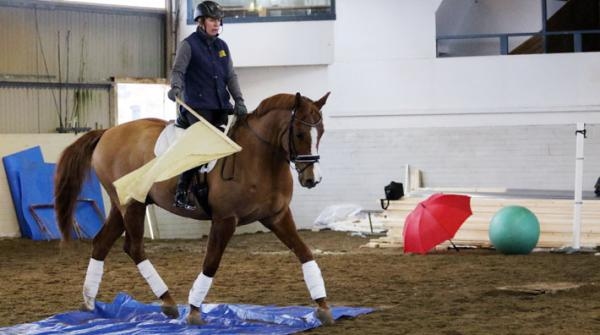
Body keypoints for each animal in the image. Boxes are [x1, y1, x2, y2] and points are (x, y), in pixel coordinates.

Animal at [54, 92, 332, 326]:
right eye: (299, 134)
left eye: (321, 132)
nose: (313, 179)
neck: (257, 158)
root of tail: (108, 132)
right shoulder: (224, 220)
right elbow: (211, 262)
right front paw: (195, 311)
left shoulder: (277, 216)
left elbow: (305, 253)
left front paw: (323, 308)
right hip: (132, 204)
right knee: (133, 247)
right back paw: (167, 302)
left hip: (121, 204)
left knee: (101, 243)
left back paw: (90, 303)